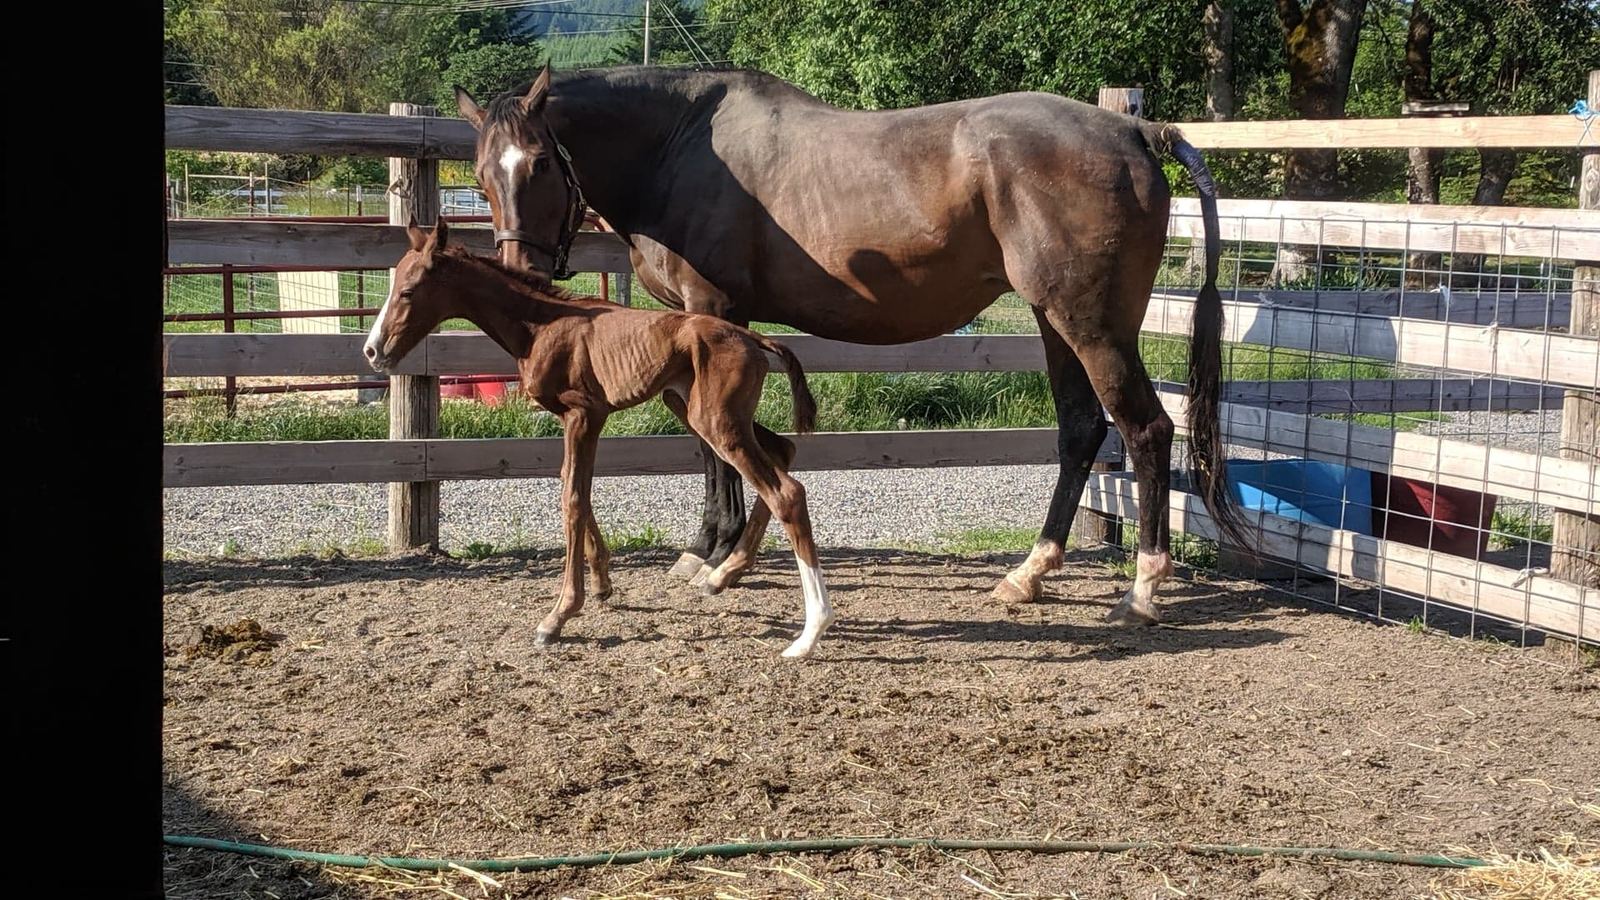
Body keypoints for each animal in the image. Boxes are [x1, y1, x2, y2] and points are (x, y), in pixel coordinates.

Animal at [362, 218, 835, 659]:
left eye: (407, 291)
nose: (372, 351)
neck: (542, 326)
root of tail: (754, 337)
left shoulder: (583, 414)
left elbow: (572, 498)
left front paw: (558, 616)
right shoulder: (579, 420)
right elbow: (576, 486)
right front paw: (603, 584)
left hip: (717, 422)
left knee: (787, 492)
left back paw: (809, 632)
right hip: (699, 410)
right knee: (783, 450)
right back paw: (723, 575)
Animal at [453, 64, 1247, 626]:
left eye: (542, 163)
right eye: (484, 174)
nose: (523, 273)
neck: (678, 147)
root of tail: (1136, 133)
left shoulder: (711, 312)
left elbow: (715, 446)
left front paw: (713, 551)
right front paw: (712, 550)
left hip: (1092, 327)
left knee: (1146, 430)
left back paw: (1142, 590)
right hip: (1056, 322)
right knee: (1082, 430)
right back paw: (1028, 574)